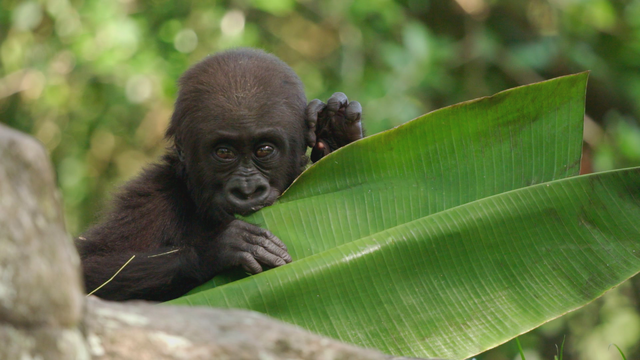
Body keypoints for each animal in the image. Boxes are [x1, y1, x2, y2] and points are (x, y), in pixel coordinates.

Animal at [76, 47, 360, 300]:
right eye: (224, 152)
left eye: (264, 149)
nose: (247, 190)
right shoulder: (149, 199)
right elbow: (84, 272)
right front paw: (216, 249)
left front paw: (337, 133)